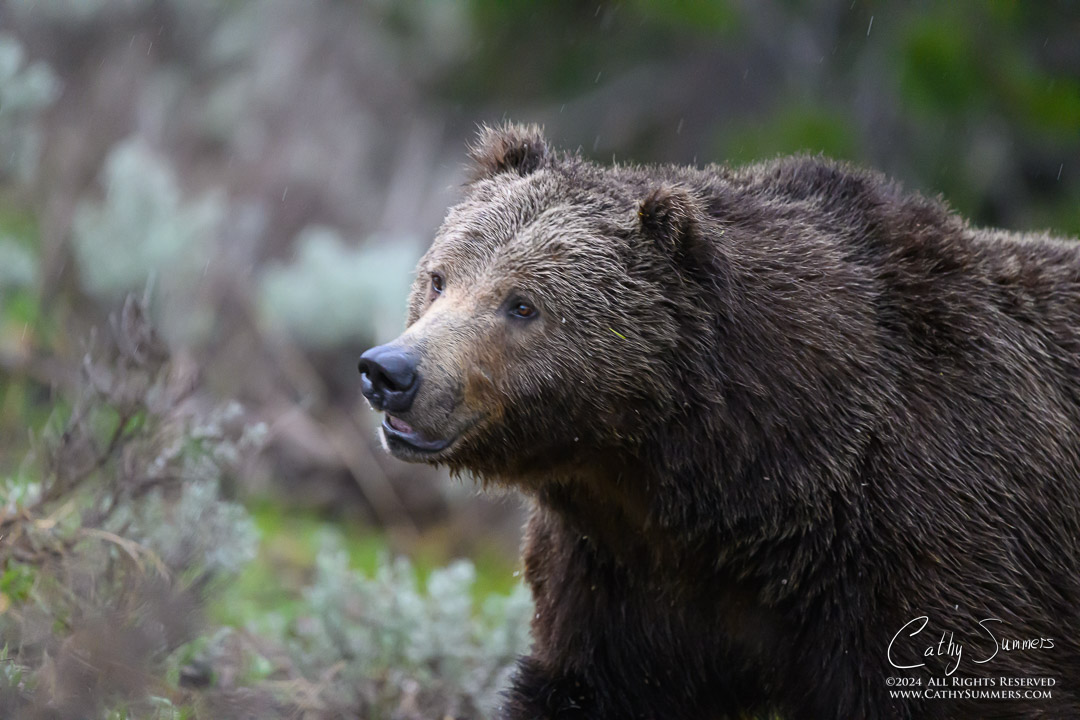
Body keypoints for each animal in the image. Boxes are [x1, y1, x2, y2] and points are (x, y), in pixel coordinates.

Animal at [358, 123, 1080, 720]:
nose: (391, 372)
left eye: (522, 305)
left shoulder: (934, 538)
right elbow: (580, 688)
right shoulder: (619, 582)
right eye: (439, 278)